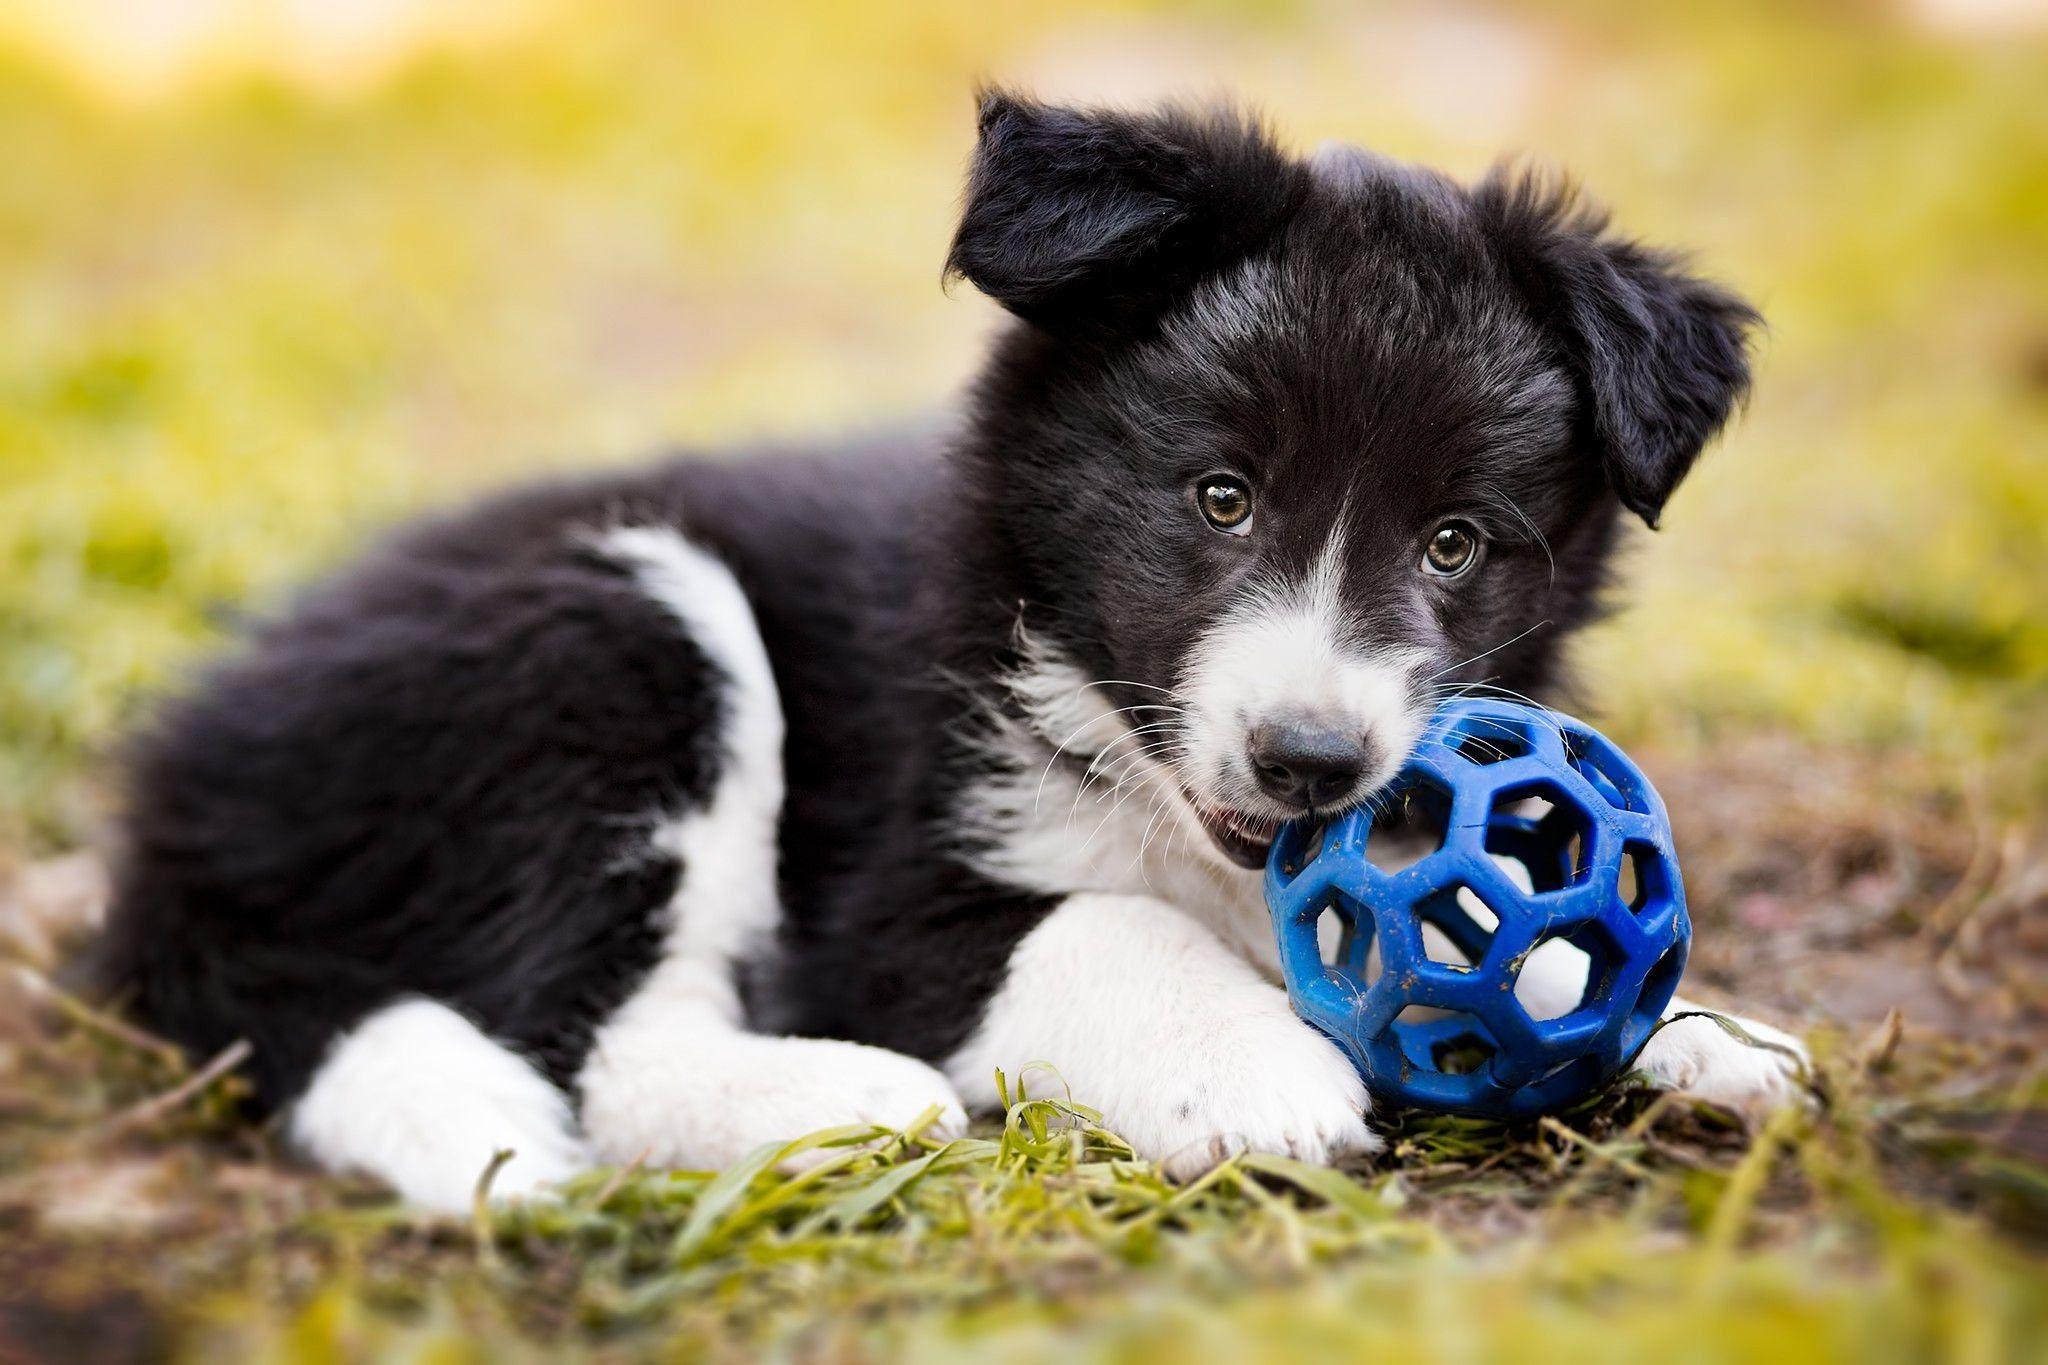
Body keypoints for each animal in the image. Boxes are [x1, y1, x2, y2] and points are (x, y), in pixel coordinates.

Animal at [99, 93, 1810, 1203]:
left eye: (1455, 542)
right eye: (1222, 497)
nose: (1310, 764)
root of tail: (179, 788)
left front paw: (1696, 1029)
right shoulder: (886, 894)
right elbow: (1102, 924)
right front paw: (1252, 1070)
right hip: (615, 636)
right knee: (594, 1040)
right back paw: (844, 1100)